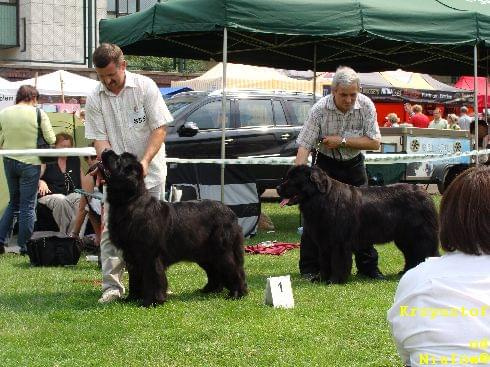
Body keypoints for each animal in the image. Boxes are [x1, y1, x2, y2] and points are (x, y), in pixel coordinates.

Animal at [99, 150, 247, 308]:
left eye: (118, 159)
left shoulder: (150, 255)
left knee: (234, 270)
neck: (129, 202)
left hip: (222, 250)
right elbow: (135, 278)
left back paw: (237, 294)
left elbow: (153, 279)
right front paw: (132, 298)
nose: (105, 151)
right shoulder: (132, 255)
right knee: (215, 271)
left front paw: (151, 302)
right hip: (205, 254)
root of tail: (231, 213)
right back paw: (209, 290)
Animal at [276, 166, 440, 284]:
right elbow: (324, 262)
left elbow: (338, 262)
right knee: (411, 254)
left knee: (426, 252)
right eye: (287, 177)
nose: (277, 188)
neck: (322, 199)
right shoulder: (324, 243)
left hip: (419, 235)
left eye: (293, 179)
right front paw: (321, 278)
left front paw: (334, 280)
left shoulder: (339, 243)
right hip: (405, 238)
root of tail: (424, 193)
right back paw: (406, 271)